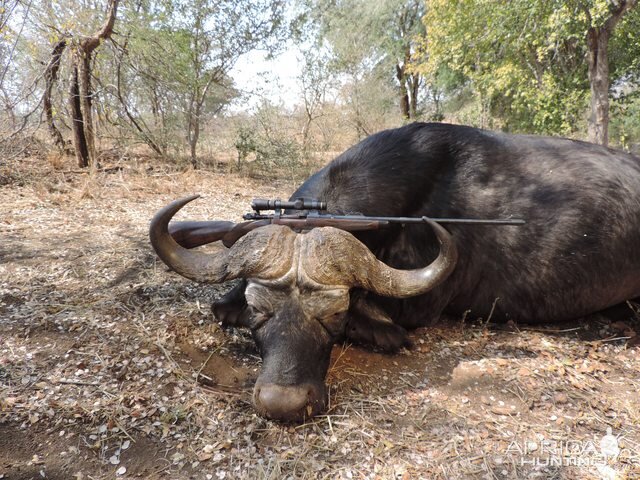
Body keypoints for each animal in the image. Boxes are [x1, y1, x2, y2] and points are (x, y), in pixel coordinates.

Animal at [150, 122, 640, 422]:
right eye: (258, 310)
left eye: (335, 315)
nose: (284, 405)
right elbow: (221, 308)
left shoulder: (420, 307)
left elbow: (387, 329)